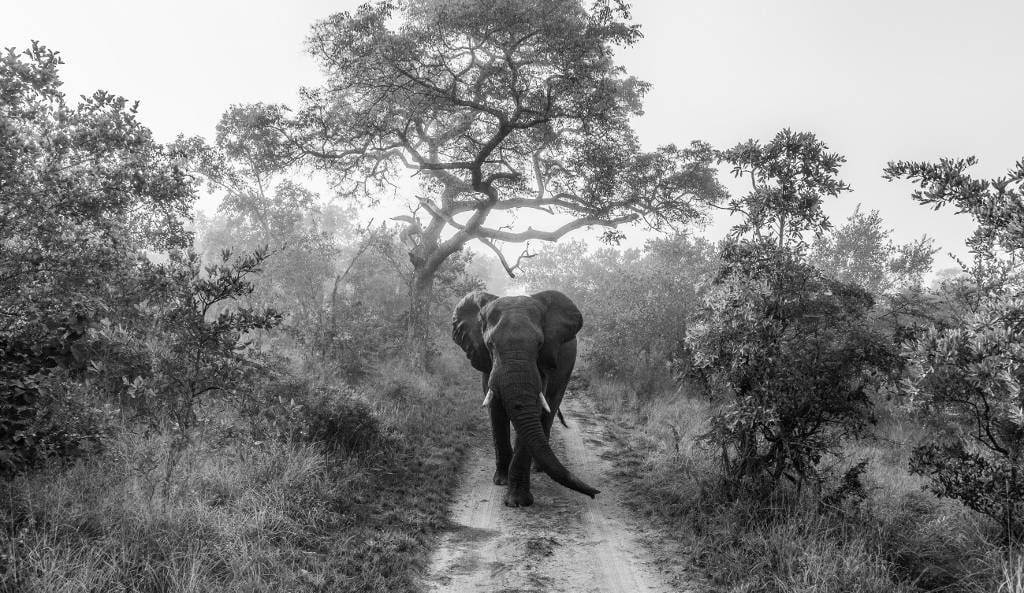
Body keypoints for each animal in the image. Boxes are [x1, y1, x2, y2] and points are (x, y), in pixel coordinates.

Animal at [451, 289, 599, 507]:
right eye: (490, 345)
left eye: (539, 344)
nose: (595, 493)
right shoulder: (486, 362)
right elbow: (495, 410)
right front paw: (501, 481)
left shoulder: (543, 363)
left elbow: (535, 408)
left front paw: (518, 502)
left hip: (567, 370)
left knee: (551, 406)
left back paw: (538, 468)